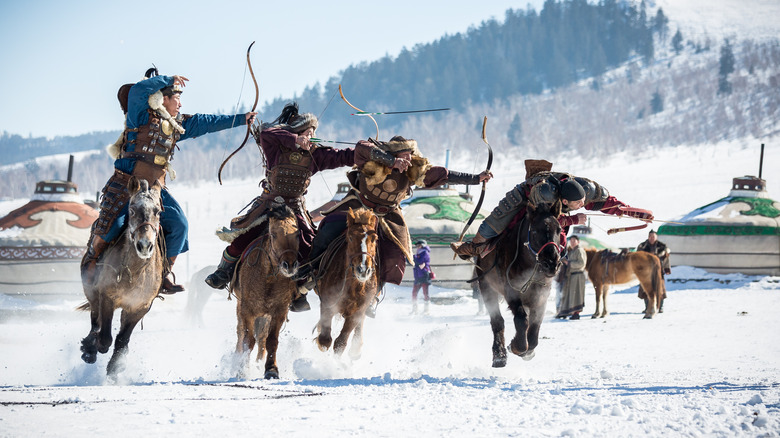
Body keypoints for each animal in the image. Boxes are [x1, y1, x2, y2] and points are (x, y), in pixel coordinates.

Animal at [78, 176, 164, 378]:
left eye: (157, 212)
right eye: (131, 210)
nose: (144, 245)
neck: (134, 273)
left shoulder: (139, 307)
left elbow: (122, 339)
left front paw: (115, 367)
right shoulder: (106, 298)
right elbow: (105, 338)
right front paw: (94, 348)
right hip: (92, 293)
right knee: (95, 320)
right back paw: (89, 349)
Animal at [230, 202, 300, 376]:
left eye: (297, 235)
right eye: (274, 235)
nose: (289, 265)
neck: (267, 279)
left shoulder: (278, 312)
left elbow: (271, 340)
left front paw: (271, 369)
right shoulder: (247, 310)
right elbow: (247, 341)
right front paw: (242, 369)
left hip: (264, 315)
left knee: (261, 337)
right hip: (241, 307)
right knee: (240, 334)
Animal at [316, 207, 380, 358]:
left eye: (374, 239)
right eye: (350, 237)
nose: (363, 269)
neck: (353, 286)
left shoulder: (357, 312)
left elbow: (340, 342)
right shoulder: (328, 303)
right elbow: (325, 340)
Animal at [472, 204, 564, 368]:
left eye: (559, 230)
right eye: (534, 231)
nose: (552, 264)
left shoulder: (541, 296)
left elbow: (535, 327)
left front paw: (528, 350)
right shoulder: (512, 292)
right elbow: (521, 320)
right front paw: (516, 346)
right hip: (486, 287)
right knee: (497, 321)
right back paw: (499, 356)